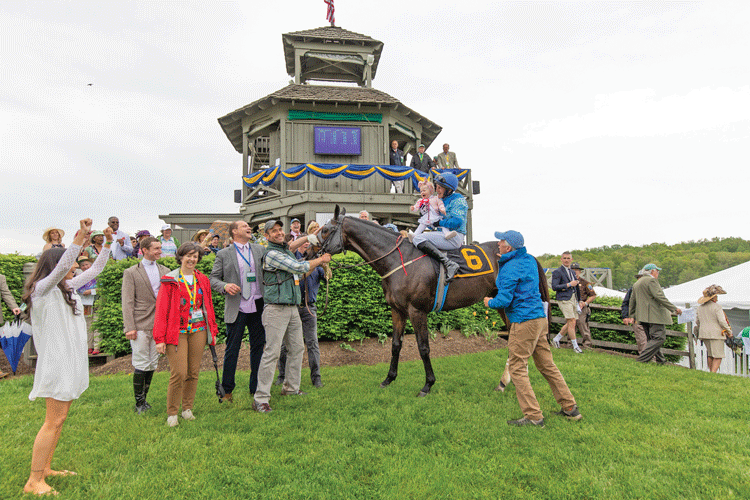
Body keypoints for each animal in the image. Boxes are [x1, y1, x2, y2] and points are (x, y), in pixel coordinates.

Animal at [312, 205, 552, 396]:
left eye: (325, 230)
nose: (309, 252)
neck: (399, 260)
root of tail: (526, 254)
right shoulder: (397, 310)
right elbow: (396, 345)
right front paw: (389, 378)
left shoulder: (417, 311)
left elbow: (423, 347)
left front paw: (428, 384)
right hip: (502, 303)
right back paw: (506, 381)